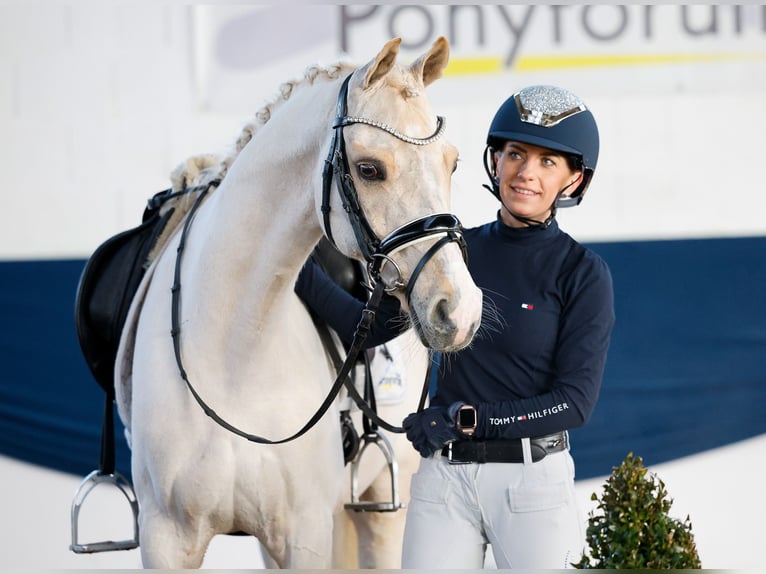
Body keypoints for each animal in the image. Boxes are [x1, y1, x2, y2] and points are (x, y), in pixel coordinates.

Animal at [112, 37, 486, 572]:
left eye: (452, 162)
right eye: (369, 169)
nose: (458, 311)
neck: (233, 358)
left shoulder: (302, 536)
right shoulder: (165, 538)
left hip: (384, 510)